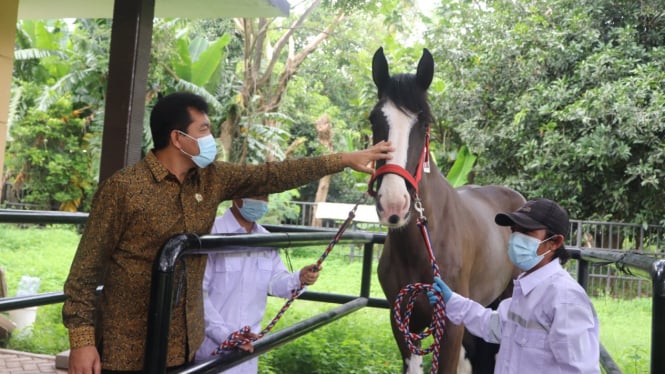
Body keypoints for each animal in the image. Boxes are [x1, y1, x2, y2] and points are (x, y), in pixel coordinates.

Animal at [366, 47, 528, 374]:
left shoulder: (451, 326)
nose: (394, 205)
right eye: (375, 119)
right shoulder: (402, 323)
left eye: (424, 123)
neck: (424, 243)